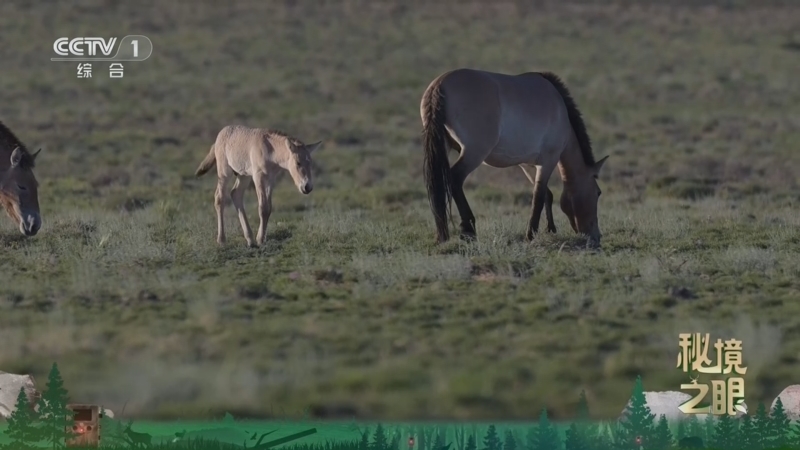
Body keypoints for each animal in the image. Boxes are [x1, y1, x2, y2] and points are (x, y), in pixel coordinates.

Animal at [419, 69, 608, 247]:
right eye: (598, 192)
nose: (596, 236)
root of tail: (439, 85)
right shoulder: (548, 161)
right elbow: (538, 197)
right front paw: (531, 234)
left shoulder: (528, 165)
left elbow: (546, 194)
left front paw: (549, 229)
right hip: (474, 154)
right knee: (455, 179)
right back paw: (468, 229)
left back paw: (442, 235)